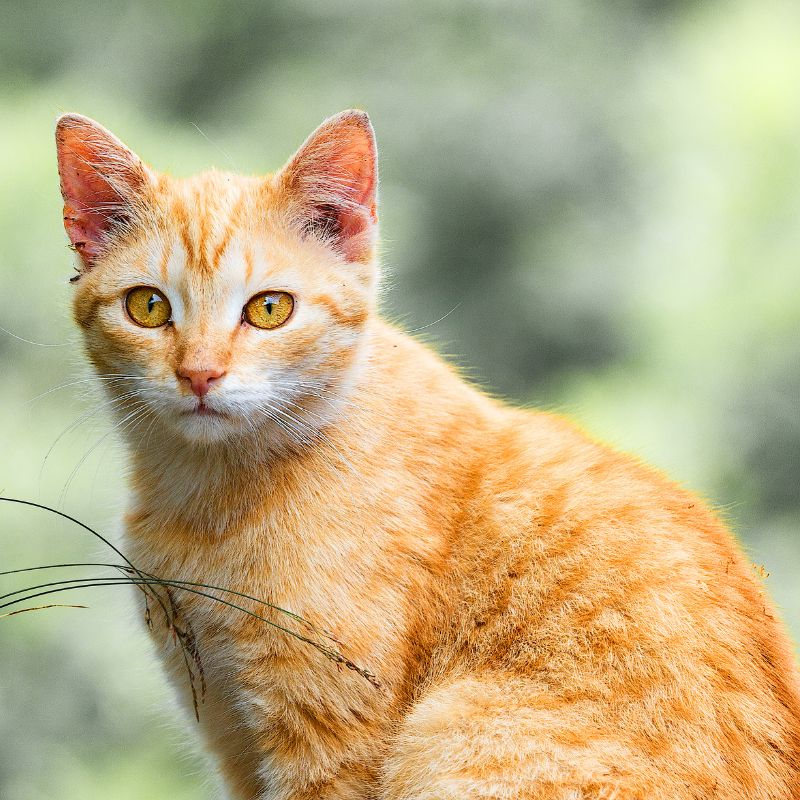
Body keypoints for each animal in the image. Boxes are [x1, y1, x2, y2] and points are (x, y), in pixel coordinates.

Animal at [56, 108, 800, 800]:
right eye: (149, 307)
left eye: (269, 309)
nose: (200, 375)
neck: (209, 501)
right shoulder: (229, 732)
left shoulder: (327, 740)